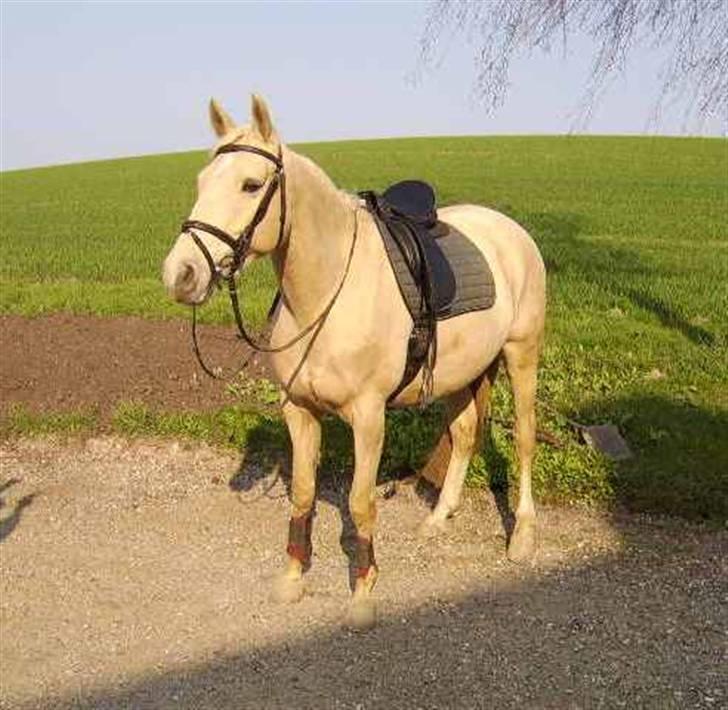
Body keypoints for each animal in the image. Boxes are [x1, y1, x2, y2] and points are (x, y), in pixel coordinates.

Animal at [162, 94, 546, 629]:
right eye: (201, 182)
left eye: (251, 184)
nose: (181, 274)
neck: (326, 294)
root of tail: (509, 231)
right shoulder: (299, 411)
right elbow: (303, 493)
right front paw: (292, 579)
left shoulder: (369, 417)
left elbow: (360, 504)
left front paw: (363, 592)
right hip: (464, 372)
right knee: (465, 434)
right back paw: (438, 518)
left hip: (521, 354)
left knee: (526, 440)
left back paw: (523, 535)